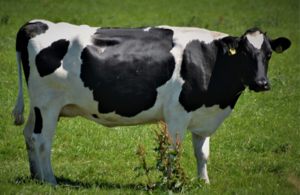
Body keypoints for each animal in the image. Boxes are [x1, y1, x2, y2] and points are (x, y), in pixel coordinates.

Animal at [11, 19, 290, 186]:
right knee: (42, 139)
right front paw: (173, 182)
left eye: (268, 54)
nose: (262, 83)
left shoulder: (202, 114)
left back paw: (36, 177)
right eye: (244, 53)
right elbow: (174, 152)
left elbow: (203, 153)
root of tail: (36, 24)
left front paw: (204, 183)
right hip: (47, 105)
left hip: (38, 107)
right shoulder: (177, 114)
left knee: (28, 134)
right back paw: (50, 181)